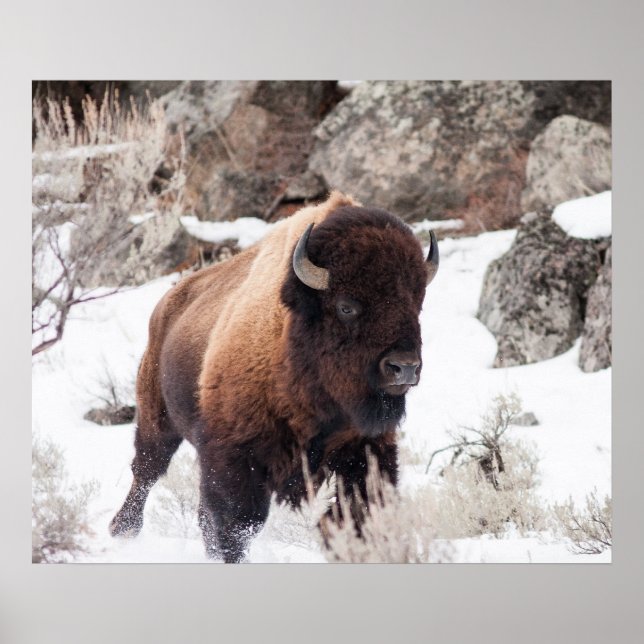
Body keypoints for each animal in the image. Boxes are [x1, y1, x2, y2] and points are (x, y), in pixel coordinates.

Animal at [110, 191, 439, 562]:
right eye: (346, 306)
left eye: (416, 303)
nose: (404, 367)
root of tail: (166, 305)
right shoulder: (235, 457)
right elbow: (237, 524)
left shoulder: (362, 449)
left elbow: (354, 512)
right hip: (156, 416)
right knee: (148, 469)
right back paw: (122, 530)